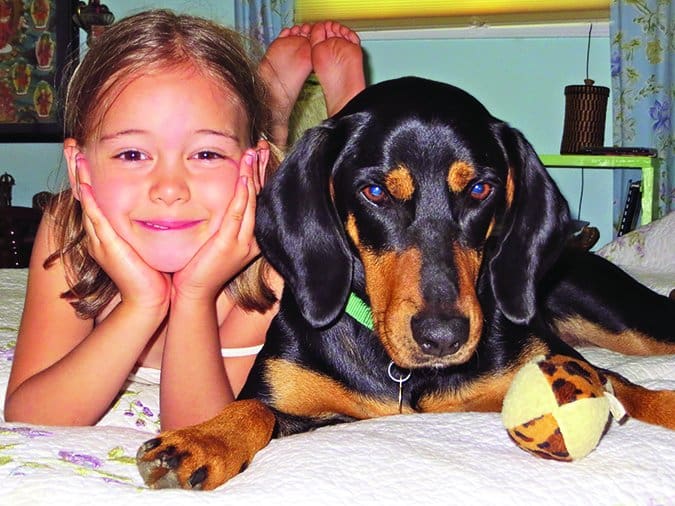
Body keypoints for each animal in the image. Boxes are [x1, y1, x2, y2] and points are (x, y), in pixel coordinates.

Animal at [136, 76, 675, 490]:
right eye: (375, 191)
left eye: (481, 188)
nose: (443, 338)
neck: (401, 375)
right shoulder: (295, 400)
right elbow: (255, 409)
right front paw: (204, 438)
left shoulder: (559, 362)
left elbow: (627, 386)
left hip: (630, 322)